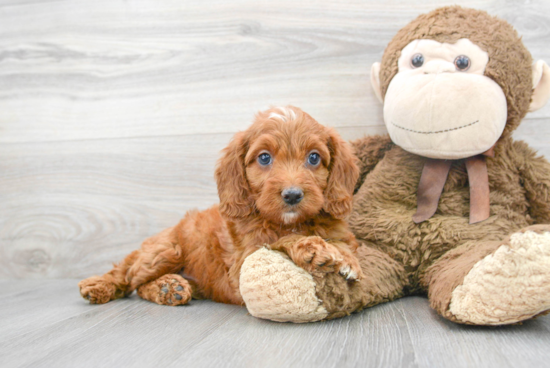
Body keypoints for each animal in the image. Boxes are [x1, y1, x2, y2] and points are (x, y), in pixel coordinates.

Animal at [77, 105, 362, 306]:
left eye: (314, 158)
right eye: (264, 158)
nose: (292, 195)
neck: (289, 222)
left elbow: (345, 244)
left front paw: (345, 258)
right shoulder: (243, 262)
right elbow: (279, 241)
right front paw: (314, 247)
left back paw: (169, 288)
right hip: (167, 250)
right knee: (127, 276)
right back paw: (101, 286)